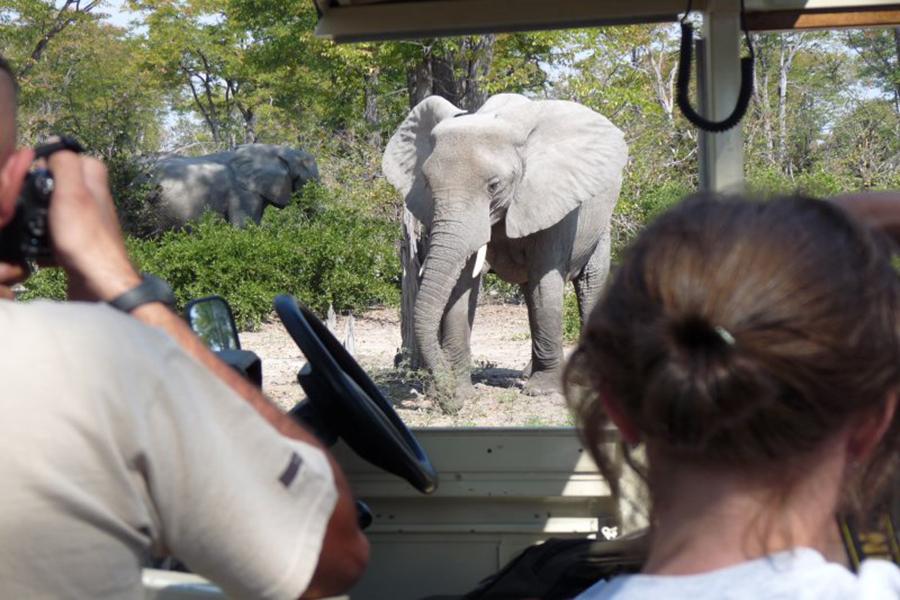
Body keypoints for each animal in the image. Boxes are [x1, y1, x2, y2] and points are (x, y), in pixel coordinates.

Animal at [383, 93, 628, 413]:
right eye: (426, 183)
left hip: (601, 222)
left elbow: (544, 284)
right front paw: (464, 393)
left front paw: (542, 392)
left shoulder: (552, 201)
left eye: (494, 185)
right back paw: (526, 373)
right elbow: (462, 287)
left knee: (589, 285)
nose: (446, 399)